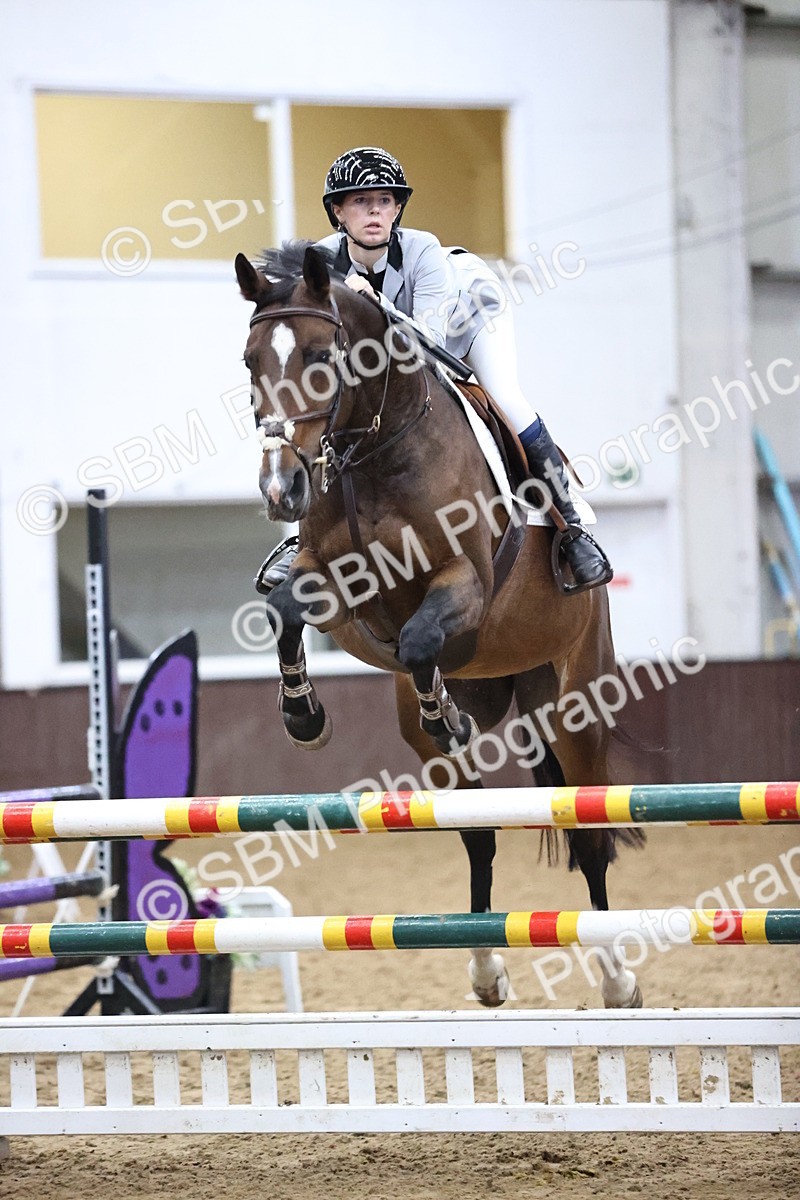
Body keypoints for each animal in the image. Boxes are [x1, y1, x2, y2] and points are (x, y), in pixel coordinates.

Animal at [235, 241, 643, 1009]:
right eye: (250, 362)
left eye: (319, 356)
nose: (280, 490)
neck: (373, 448)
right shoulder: (335, 585)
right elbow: (285, 611)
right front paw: (304, 716)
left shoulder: (466, 584)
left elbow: (422, 636)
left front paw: (440, 711)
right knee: (478, 833)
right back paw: (486, 968)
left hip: (575, 705)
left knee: (588, 834)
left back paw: (617, 978)